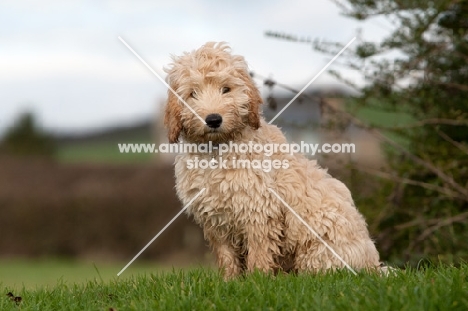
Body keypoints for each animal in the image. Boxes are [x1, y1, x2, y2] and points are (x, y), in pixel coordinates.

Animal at [163, 42, 382, 280]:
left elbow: (259, 251)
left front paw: (257, 279)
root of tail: (374, 265)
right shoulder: (215, 219)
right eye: (192, 93)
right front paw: (229, 281)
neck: (217, 152)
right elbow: (226, 255)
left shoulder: (258, 209)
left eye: (226, 89)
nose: (213, 119)